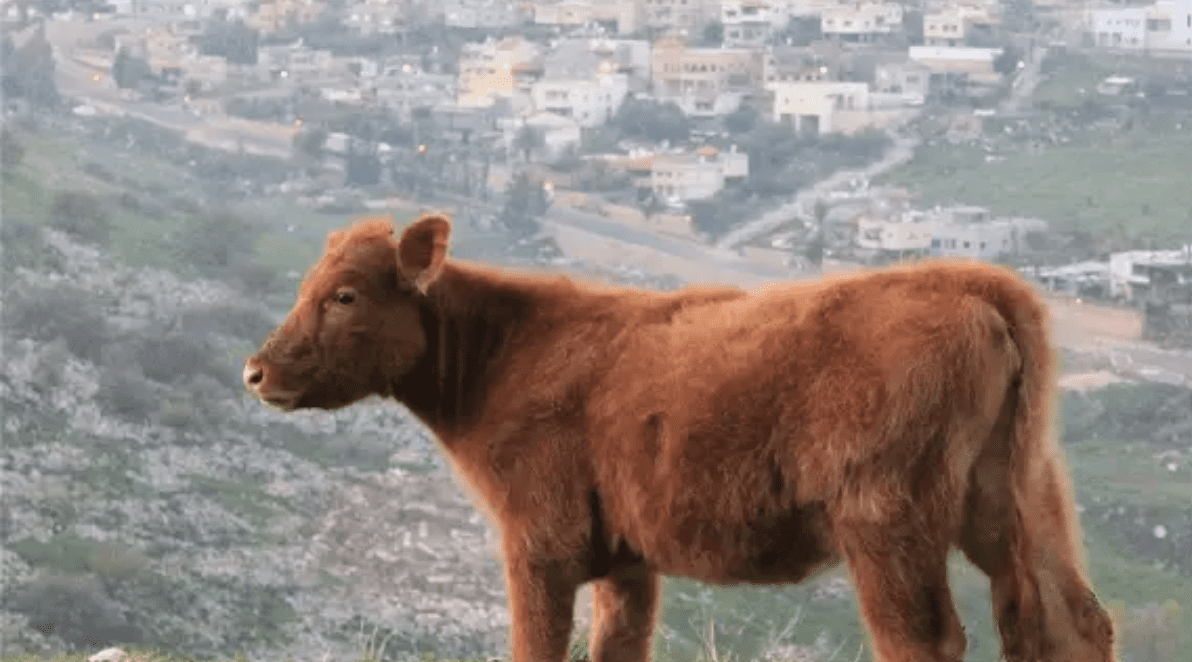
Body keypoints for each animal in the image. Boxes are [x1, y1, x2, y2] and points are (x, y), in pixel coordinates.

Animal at [244, 214, 1115, 658]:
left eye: (344, 295)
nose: (256, 370)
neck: (500, 355)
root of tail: (971, 279)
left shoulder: (539, 540)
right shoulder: (626, 559)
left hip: (886, 515)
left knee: (928, 640)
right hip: (1019, 493)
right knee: (1066, 620)